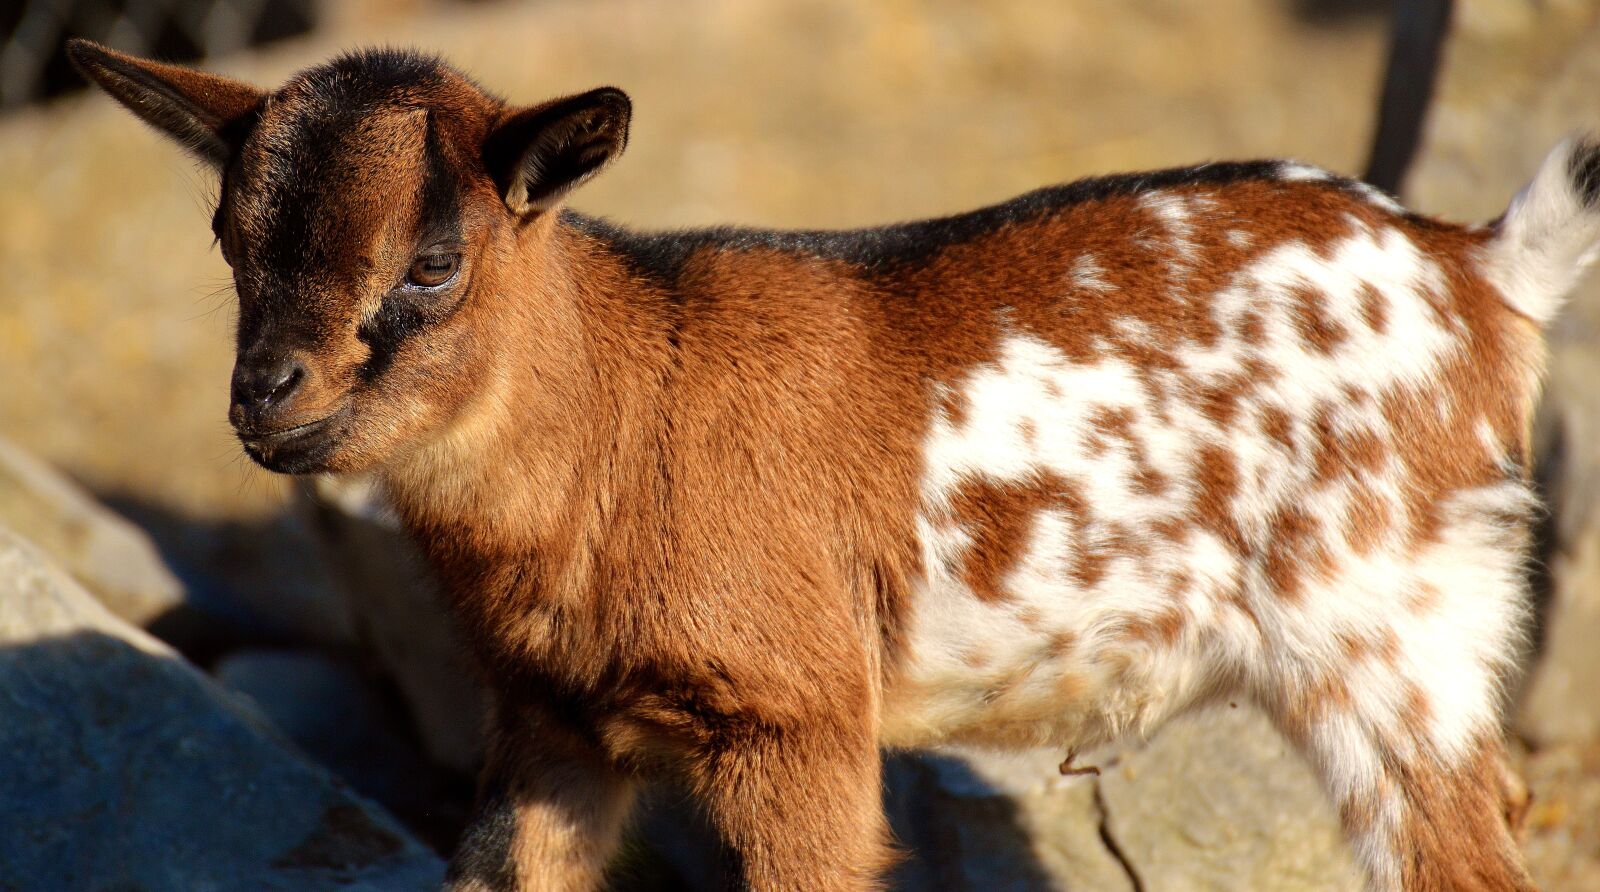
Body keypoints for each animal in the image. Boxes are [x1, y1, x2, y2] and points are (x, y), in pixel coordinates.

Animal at [70, 39, 1596, 891]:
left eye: (433, 259)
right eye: (227, 235)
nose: (265, 399)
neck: (627, 415)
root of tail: (1479, 267)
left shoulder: (796, 720)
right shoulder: (551, 726)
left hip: (1389, 641)